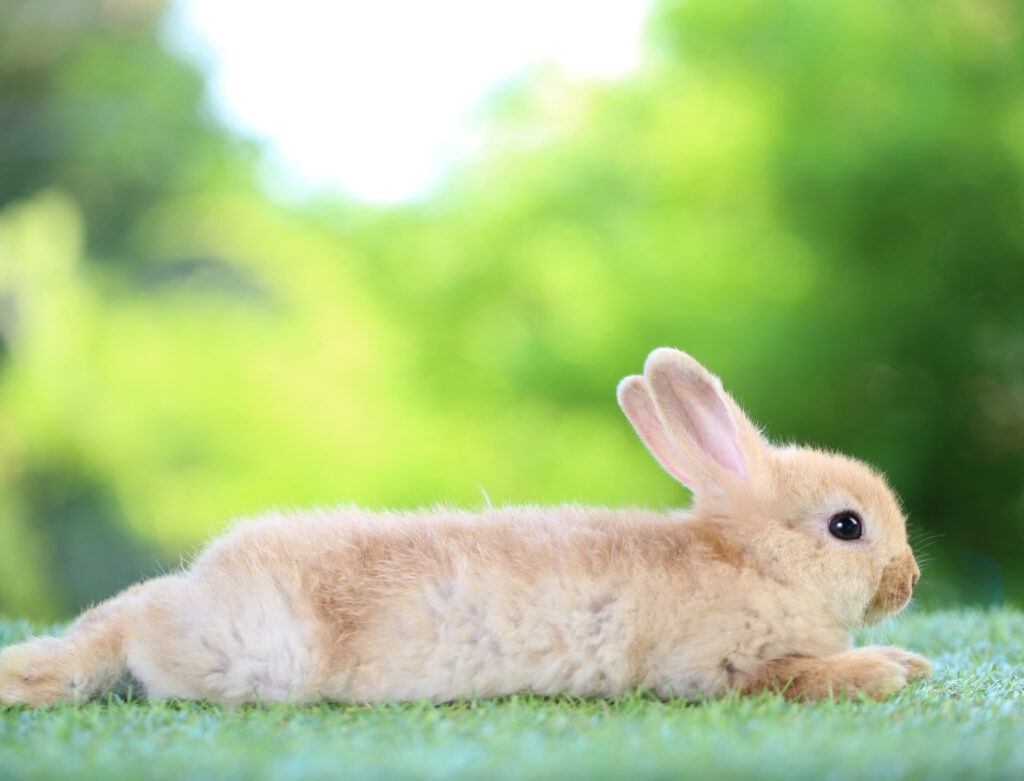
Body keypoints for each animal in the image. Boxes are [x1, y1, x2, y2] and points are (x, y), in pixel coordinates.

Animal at [0, 348, 930, 707]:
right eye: (847, 525)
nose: (910, 579)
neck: (755, 560)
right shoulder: (717, 664)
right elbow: (792, 675)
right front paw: (885, 669)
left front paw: (908, 658)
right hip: (253, 658)